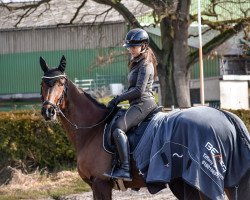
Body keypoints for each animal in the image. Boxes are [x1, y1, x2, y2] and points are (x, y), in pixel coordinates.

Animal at [40, 55, 249, 200]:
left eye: (61, 83)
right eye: (43, 83)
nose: (48, 111)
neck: (92, 130)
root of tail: (225, 115)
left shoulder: (101, 184)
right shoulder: (95, 186)